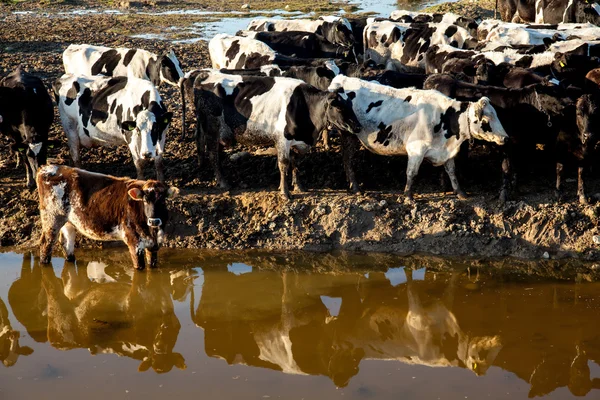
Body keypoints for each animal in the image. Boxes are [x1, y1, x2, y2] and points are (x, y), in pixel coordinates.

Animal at [36, 164, 178, 270]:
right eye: (145, 200)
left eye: (163, 201)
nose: (154, 221)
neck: (152, 232)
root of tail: (48, 167)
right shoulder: (134, 243)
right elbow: (139, 267)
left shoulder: (154, 245)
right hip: (52, 218)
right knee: (46, 244)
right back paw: (44, 264)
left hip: (68, 221)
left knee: (66, 243)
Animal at [326, 74, 508, 198]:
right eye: (486, 119)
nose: (505, 137)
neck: (444, 117)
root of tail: (341, 78)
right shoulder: (416, 149)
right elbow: (412, 173)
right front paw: (408, 196)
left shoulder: (445, 151)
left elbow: (451, 171)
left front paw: (460, 192)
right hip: (348, 133)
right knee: (348, 160)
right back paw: (356, 187)